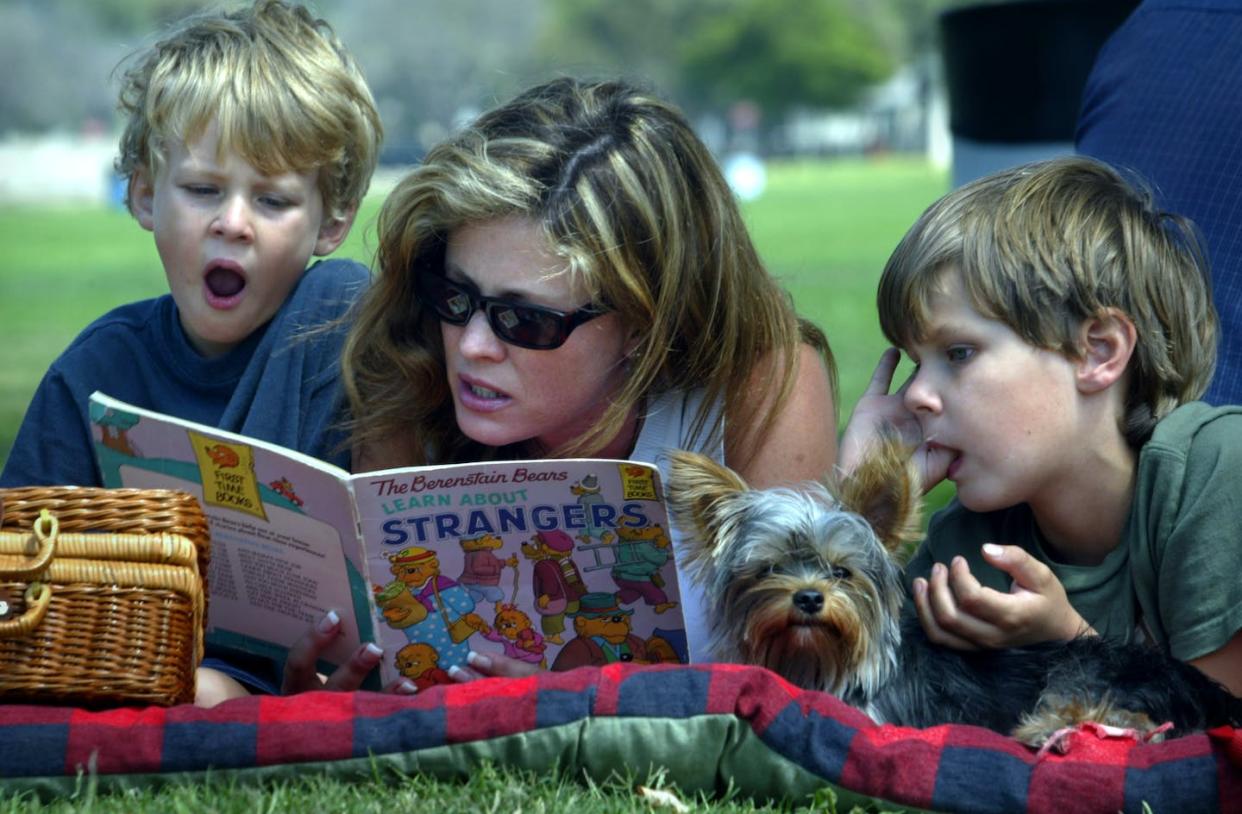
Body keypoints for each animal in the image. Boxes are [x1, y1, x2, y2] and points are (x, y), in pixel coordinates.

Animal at [670, 442, 1242, 750]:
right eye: (770, 569)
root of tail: (1210, 692)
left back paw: (1045, 731)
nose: (809, 598)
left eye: (842, 572)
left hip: (1087, 673)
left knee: (1138, 724)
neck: (816, 664)